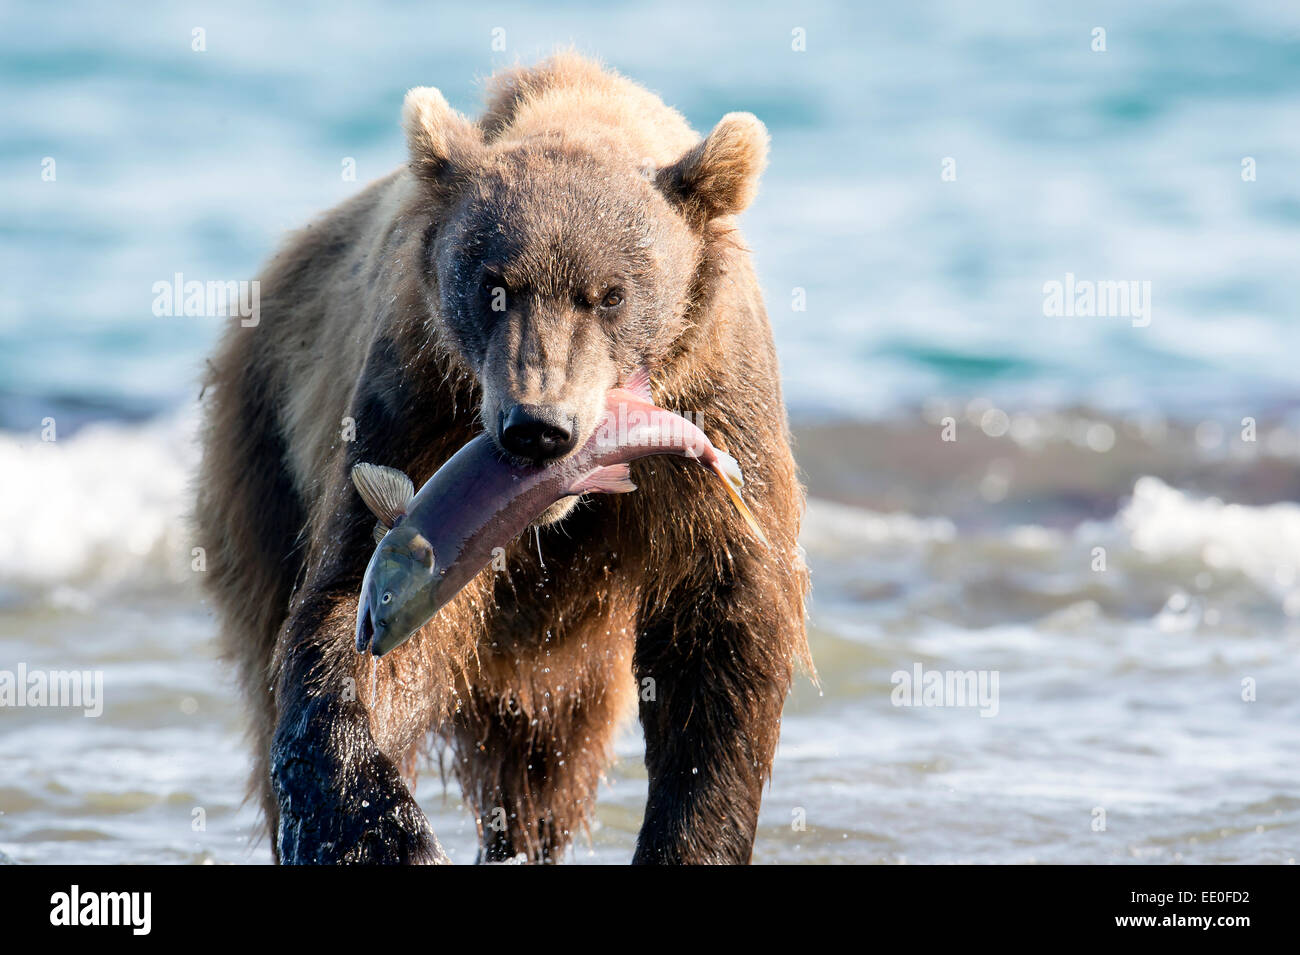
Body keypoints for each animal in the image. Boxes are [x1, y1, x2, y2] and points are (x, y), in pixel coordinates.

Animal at [195, 54, 811, 867]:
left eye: (610, 295)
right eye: (493, 286)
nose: (538, 428)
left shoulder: (718, 414)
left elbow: (725, 634)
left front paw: (691, 835)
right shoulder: (417, 403)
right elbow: (347, 619)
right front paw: (380, 832)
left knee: (546, 766)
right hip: (262, 449)